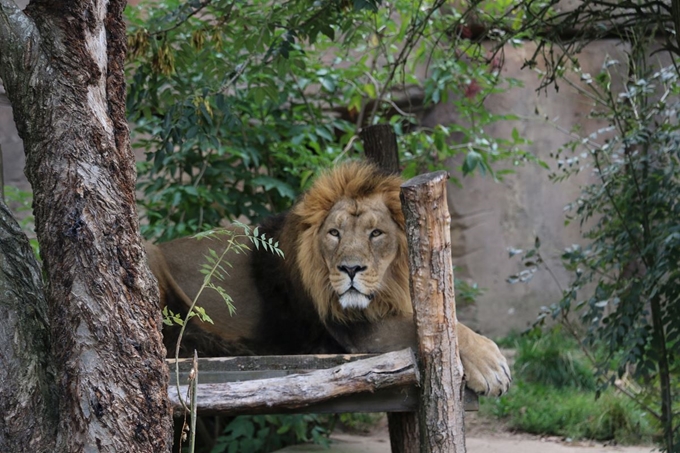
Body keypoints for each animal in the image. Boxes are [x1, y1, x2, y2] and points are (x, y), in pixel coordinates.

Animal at [147, 161, 510, 394]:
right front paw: (492, 367)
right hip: (151, 258)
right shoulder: (355, 328)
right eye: (335, 233)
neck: (389, 286)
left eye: (376, 233)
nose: (350, 269)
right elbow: (436, 328)